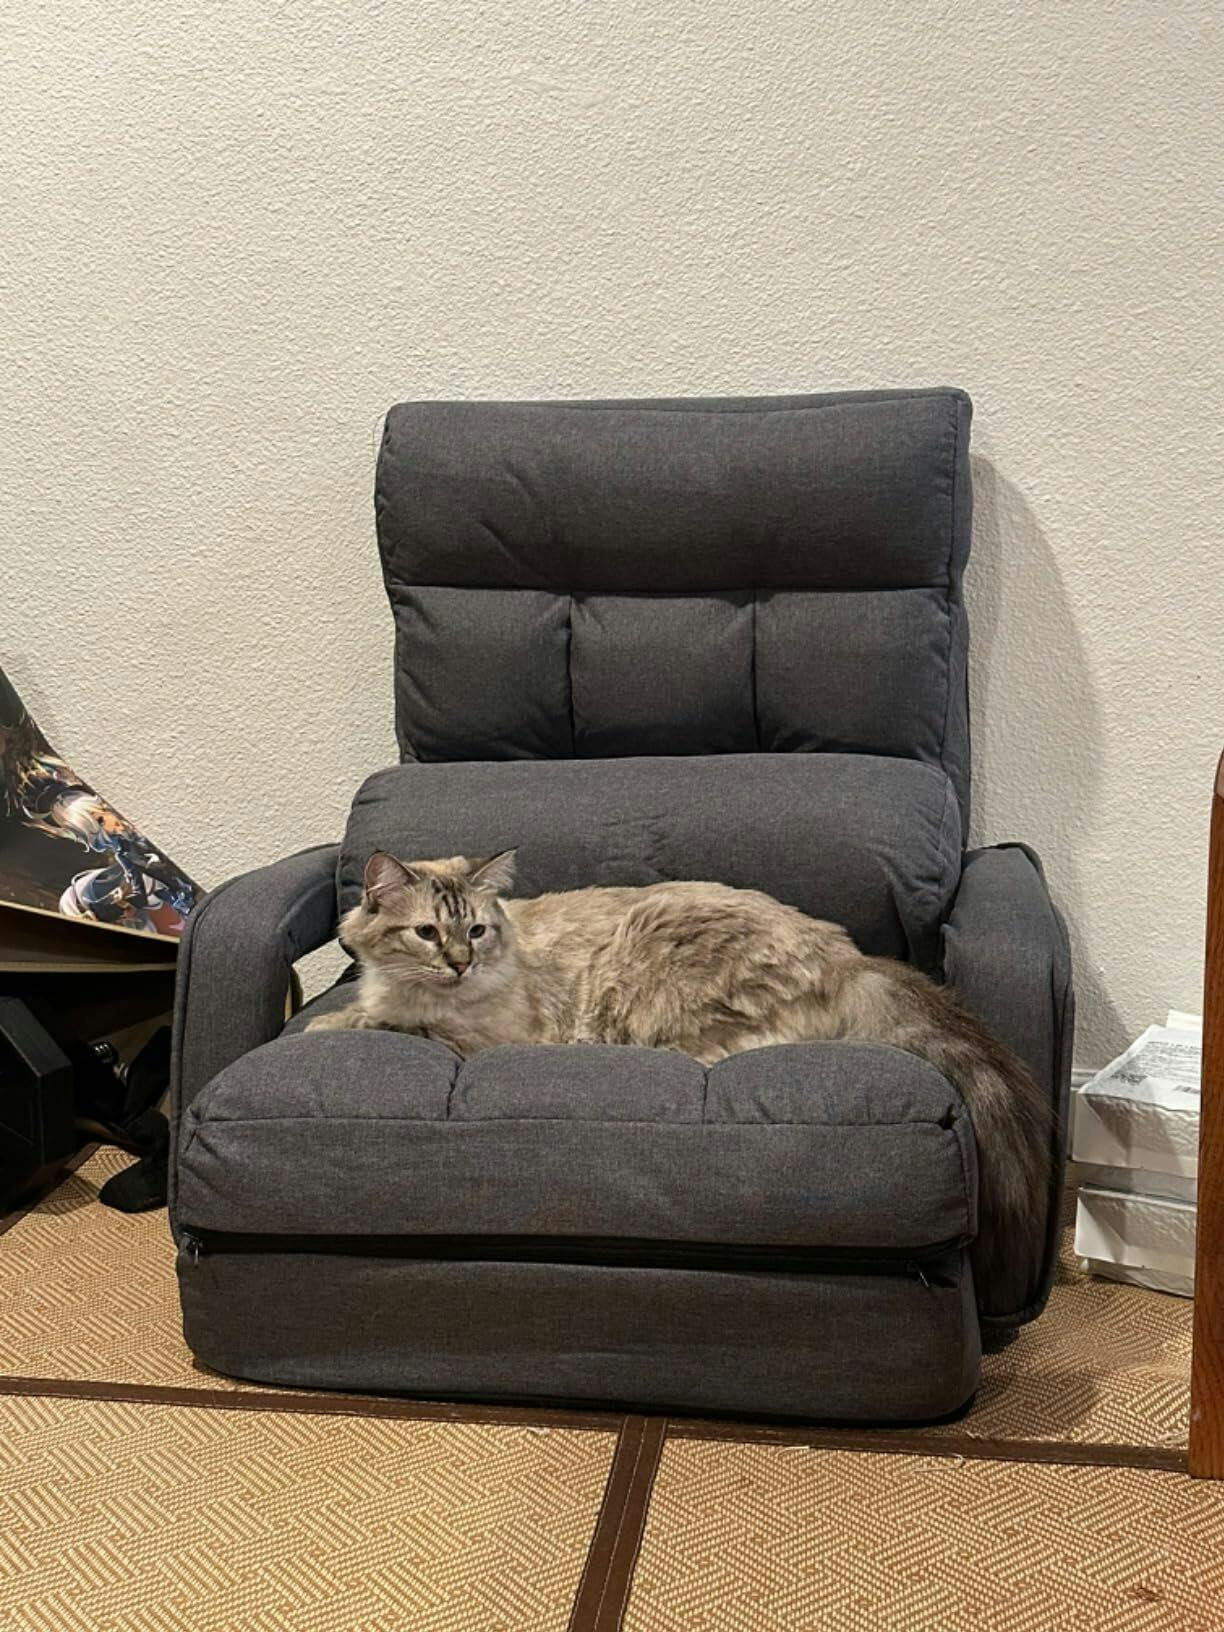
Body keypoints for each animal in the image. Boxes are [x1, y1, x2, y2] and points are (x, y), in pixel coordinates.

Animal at [308, 849, 1051, 1296]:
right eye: (428, 933)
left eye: (476, 933)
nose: (461, 964)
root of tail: (850, 958)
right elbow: (366, 1011)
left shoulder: (485, 1037)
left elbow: (380, 1025)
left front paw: (326, 1027)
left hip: (648, 962)